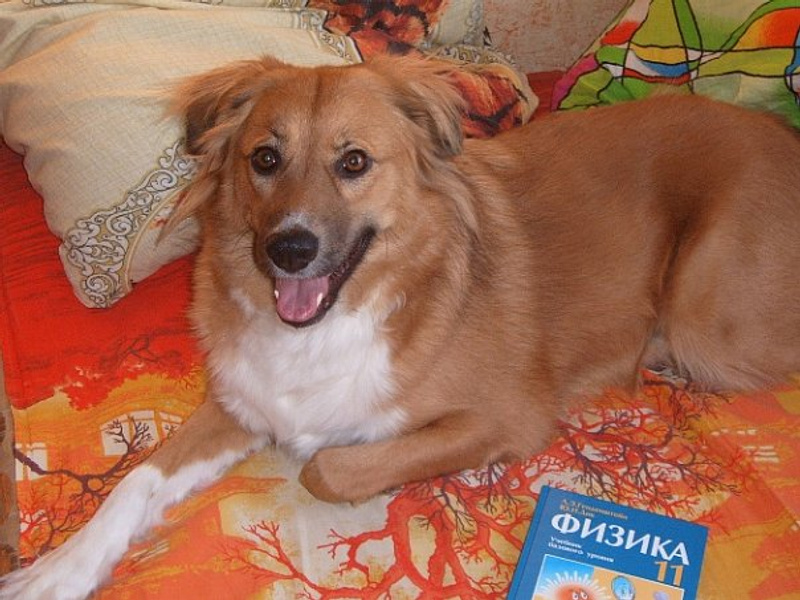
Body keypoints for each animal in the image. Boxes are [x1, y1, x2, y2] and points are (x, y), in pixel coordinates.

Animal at [2, 55, 799, 599]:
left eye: (354, 162)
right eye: (265, 158)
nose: (288, 250)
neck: (330, 320)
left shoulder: (510, 416)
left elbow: (329, 462)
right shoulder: (239, 403)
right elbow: (136, 479)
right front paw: (61, 568)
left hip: (705, 321)